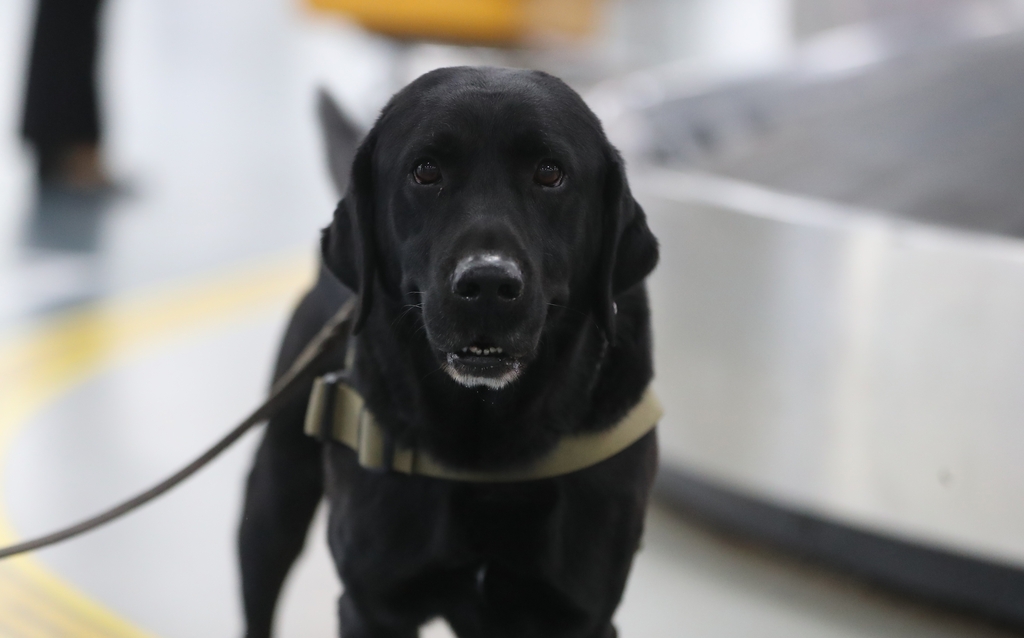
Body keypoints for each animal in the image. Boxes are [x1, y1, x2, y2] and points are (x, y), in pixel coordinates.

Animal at [237, 67, 655, 634]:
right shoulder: (370, 605)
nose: (488, 283)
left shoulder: (581, 616)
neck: (484, 445)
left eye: (550, 173)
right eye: (426, 171)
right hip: (272, 500)